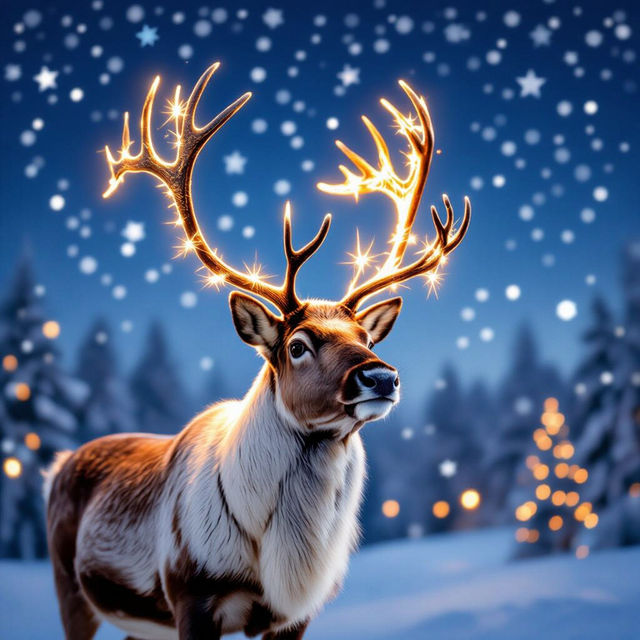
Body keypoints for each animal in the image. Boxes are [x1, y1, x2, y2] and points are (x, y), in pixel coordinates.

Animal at [44, 62, 470, 640]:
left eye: (366, 338)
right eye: (298, 345)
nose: (381, 377)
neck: (278, 564)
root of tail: (60, 463)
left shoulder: (297, 614)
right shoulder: (191, 596)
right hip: (73, 589)